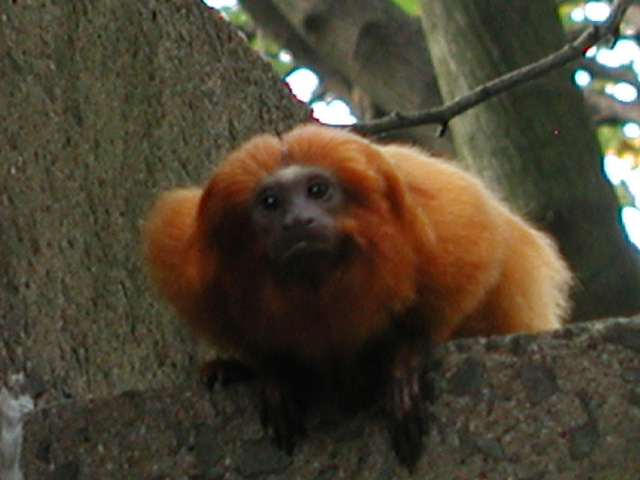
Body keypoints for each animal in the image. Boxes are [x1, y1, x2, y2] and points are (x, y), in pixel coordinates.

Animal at [142, 124, 572, 468]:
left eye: (317, 190)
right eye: (271, 203)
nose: (297, 221)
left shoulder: (441, 218)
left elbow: (474, 252)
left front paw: (404, 356)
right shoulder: (190, 260)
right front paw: (274, 371)